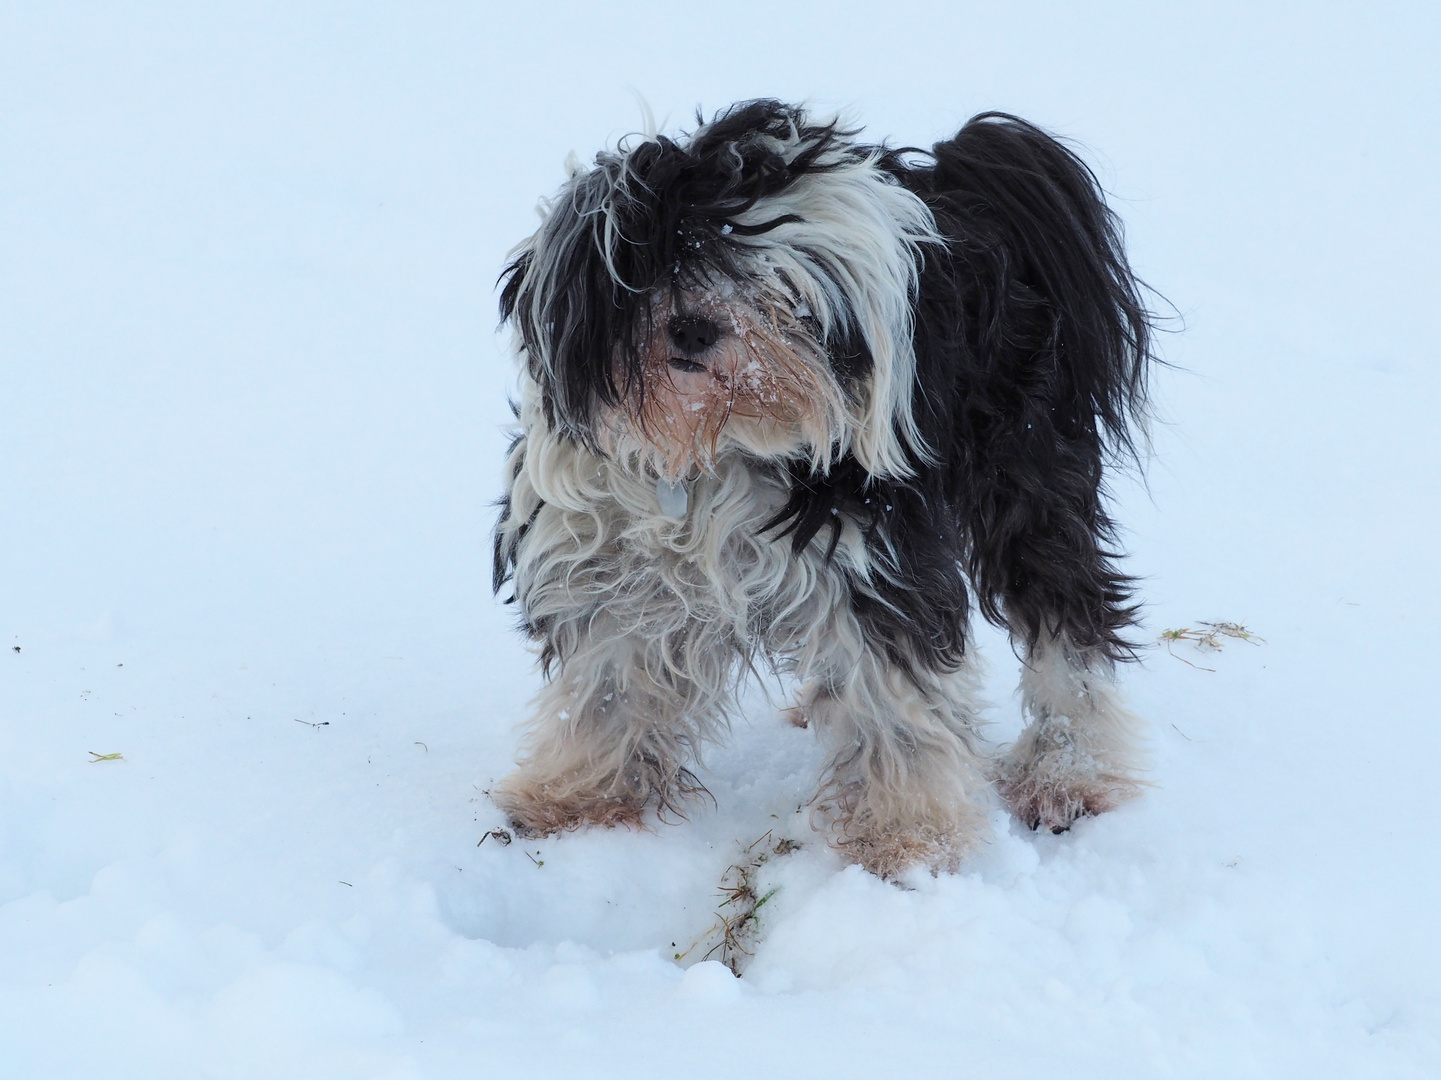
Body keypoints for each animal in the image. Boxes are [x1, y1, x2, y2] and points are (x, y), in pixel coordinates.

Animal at [489, 98, 1152, 876]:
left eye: (772, 284)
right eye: (664, 256)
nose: (693, 329)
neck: (710, 450)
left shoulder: (877, 561)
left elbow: (897, 707)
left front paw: (906, 840)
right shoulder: (611, 572)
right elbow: (606, 690)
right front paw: (577, 801)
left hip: (1026, 473)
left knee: (1068, 619)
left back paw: (1068, 772)